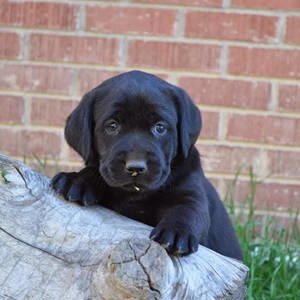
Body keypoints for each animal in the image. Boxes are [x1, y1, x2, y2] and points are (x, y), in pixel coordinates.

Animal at [51, 70, 243, 260]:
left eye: (160, 127)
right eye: (112, 126)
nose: (135, 167)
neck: (135, 195)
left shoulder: (191, 194)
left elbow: (188, 210)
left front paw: (176, 232)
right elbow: (95, 171)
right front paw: (76, 180)